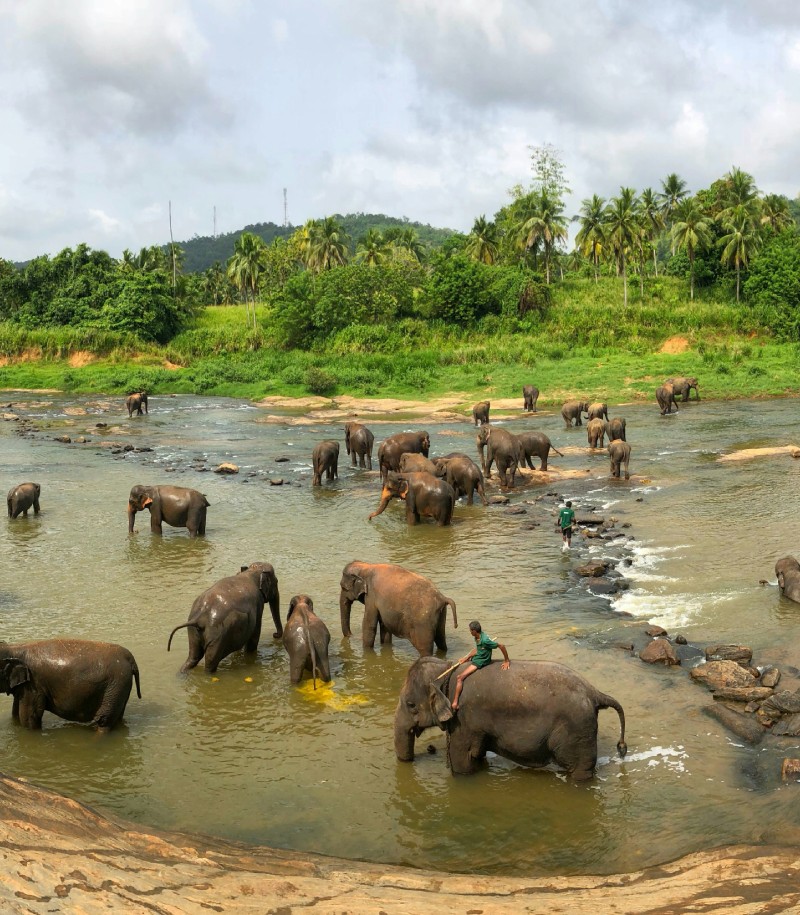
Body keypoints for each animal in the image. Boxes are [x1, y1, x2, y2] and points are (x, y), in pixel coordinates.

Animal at [0, 639, 141, 731]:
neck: (13, 648)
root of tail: (130, 657)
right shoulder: (24, 687)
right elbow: (15, 713)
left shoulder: (33, 685)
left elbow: (29, 719)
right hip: (121, 687)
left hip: (115, 685)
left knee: (103, 721)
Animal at [394, 656, 627, 780]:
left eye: (410, 705)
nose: (412, 760)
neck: (446, 668)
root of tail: (594, 693)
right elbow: (476, 756)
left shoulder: (464, 719)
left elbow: (462, 759)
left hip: (577, 731)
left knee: (579, 770)